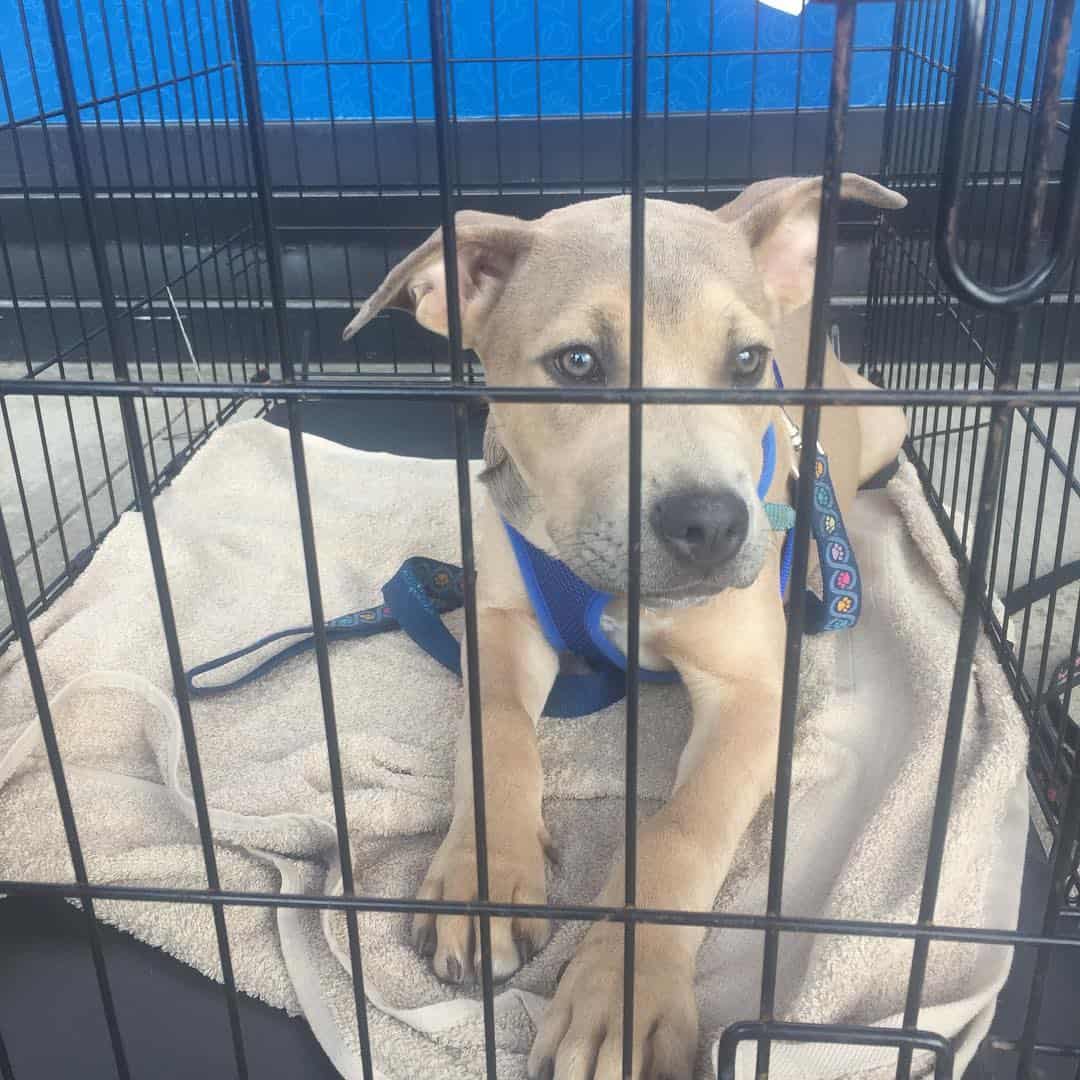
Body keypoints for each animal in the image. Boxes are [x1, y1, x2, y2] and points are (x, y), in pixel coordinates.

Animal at [341, 177, 907, 1080]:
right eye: (578, 363)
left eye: (746, 364)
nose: (709, 525)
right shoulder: (499, 622)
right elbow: (496, 734)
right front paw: (485, 873)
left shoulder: (752, 692)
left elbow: (681, 831)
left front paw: (621, 991)